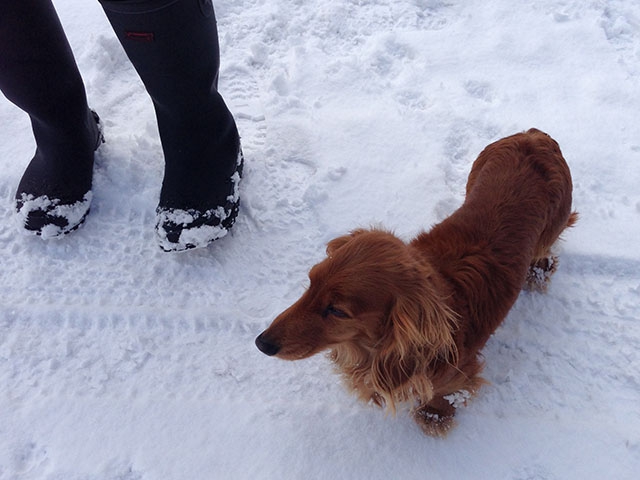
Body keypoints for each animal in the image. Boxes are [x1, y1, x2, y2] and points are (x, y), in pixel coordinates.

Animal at [256, 129, 580, 436]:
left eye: (337, 311)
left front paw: (434, 417)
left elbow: (444, 393)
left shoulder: (460, 373)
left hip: (552, 228)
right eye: (311, 282)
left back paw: (537, 272)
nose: (262, 343)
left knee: (545, 250)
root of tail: (534, 135)